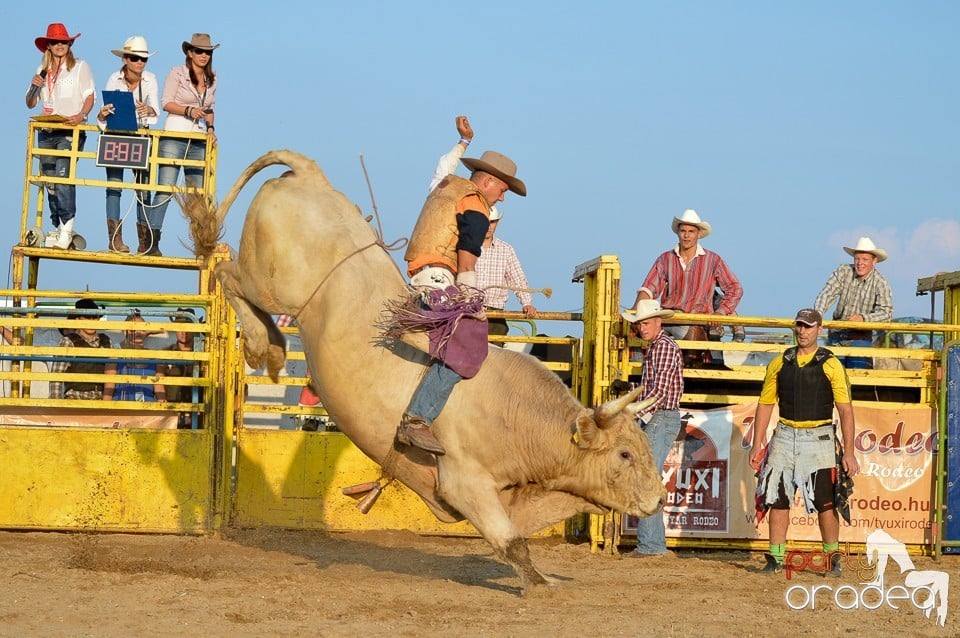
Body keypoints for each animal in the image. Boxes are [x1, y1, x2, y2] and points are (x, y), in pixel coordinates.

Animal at [184, 150, 668, 596]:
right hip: (272, 285)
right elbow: (510, 540)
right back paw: (264, 345)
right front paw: (540, 584)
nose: (658, 498)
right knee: (228, 273)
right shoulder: (465, 482)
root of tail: (308, 175)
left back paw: (272, 344)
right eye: (625, 454)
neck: (519, 415)